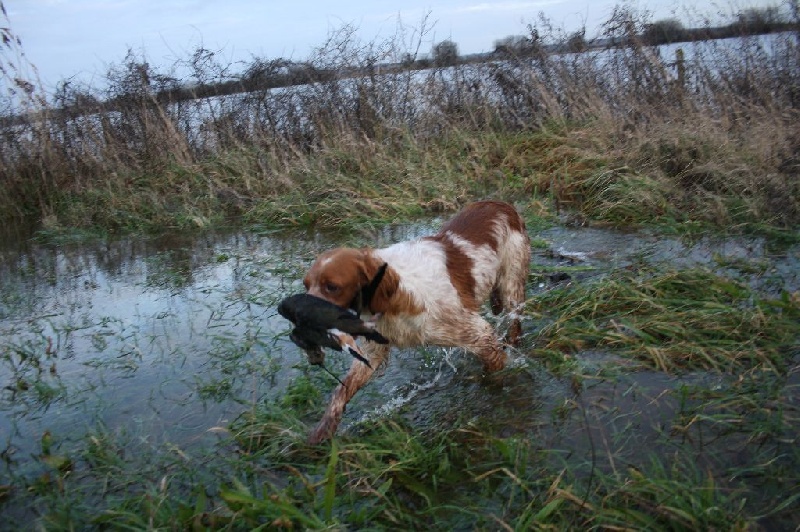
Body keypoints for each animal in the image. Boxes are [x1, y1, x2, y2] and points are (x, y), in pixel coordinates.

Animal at [304, 198, 528, 440]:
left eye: (332, 287)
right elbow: (341, 392)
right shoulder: (373, 352)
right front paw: (322, 432)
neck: (394, 299)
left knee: (515, 323)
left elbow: (494, 368)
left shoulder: (477, 333)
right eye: (306, 285)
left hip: (512, 285)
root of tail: (500, 203)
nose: (301, 318)